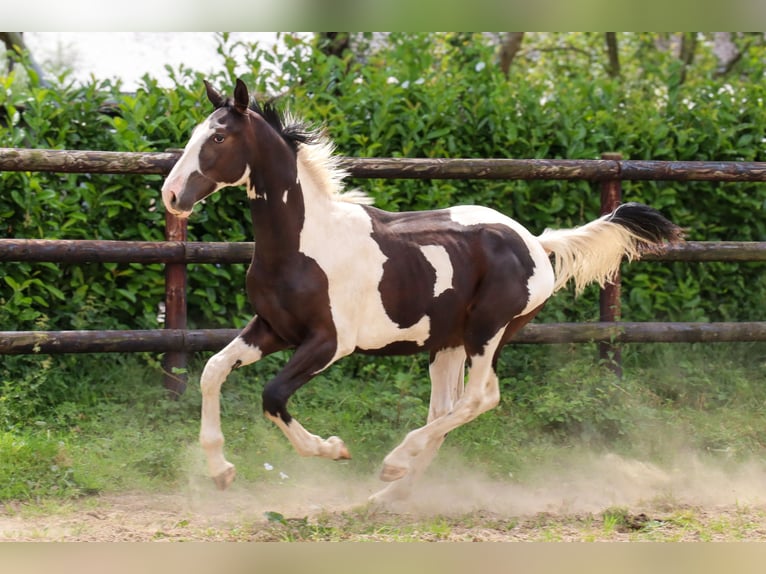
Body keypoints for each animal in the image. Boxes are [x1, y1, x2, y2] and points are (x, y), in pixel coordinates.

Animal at [160, 79, 684, 506]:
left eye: (218, 138)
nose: (170, 196)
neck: (304, 243)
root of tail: (536, 242)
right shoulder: (272, 327)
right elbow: (212, 371)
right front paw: (221, 471)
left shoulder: (329, 342)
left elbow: (272, 395)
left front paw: (334, 449)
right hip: (447, 343)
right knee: (447, 409)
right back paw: (386, 494)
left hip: (488, 332)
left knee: (480, 399)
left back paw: (394, 463)